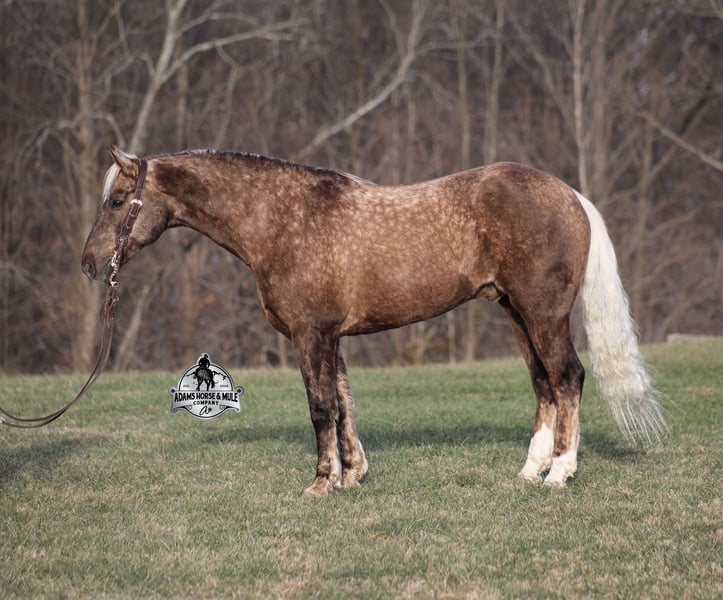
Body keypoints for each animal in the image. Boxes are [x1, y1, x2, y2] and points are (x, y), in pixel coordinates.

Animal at [81, 145, 667, 495]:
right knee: (544, 384)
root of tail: (570, 196)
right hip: (516, 314)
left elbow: (321, 407)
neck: (283, 221)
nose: (90, 264)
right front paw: (353, 474)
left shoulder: (310, 334)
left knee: (568, 378)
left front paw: (321, 484)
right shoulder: (331, 337)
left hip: (543, 314)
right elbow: (343, 402)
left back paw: (560, 473)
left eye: (117, 201)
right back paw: (529, 471)